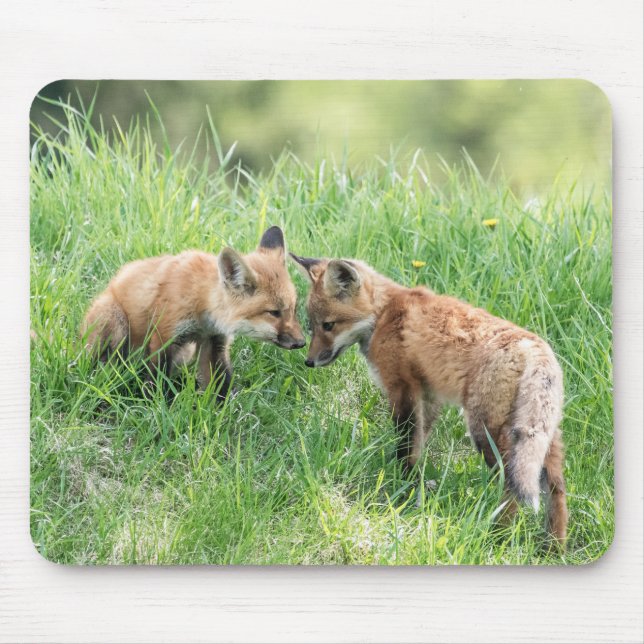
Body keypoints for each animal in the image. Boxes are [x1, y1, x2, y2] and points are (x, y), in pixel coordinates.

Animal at [81, 226, 305, 400]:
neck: (201, 301)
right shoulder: (164, 337)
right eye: (274, 312)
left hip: (185, 352)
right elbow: (157, 381)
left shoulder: (215, 341)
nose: (302, 342)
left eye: (293, 309)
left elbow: (221, 384)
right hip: (114, 323)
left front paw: (224, 413)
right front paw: (157, 407)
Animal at [291, 253, 568, 544]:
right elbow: (418, 445)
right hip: (542, 438)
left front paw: (401, 486)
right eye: (311, 326)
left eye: (329, 325)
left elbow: (405, 445)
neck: (383, 315)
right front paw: (414, 484)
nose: (309, 361)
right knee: (556, 489)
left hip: (485, 432)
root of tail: (536, 350)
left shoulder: (403, 388)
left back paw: (497, 535)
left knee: (511, 484)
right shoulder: (428, 397)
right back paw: (554, 546)